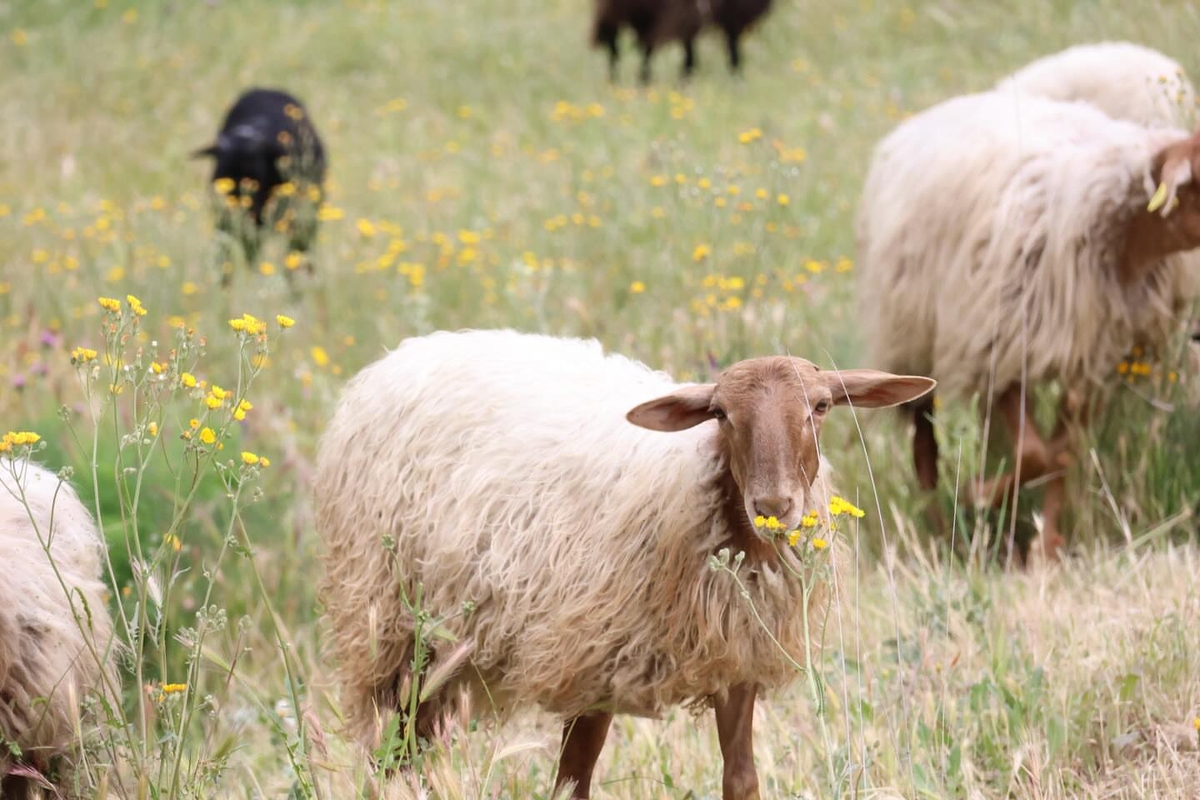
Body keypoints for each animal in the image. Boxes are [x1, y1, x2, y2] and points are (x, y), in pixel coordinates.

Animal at [316, 329, 934, 799]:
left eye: (822, 406)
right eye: (720, 414)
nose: (774, 506)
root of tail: (406, 353)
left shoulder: (736, 666)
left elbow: (741, 781)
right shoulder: (593, 667)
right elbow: (571, 786)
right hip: (390, 631)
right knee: (392, 753)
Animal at [856, 90, 1200, 560]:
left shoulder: (1093, 357)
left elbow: (1061, 454)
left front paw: (1044, 549)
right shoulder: (999, 340)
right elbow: (1038, 455)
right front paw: (981, 495)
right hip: (909, 333)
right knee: (924, 443)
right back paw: (942, 534)